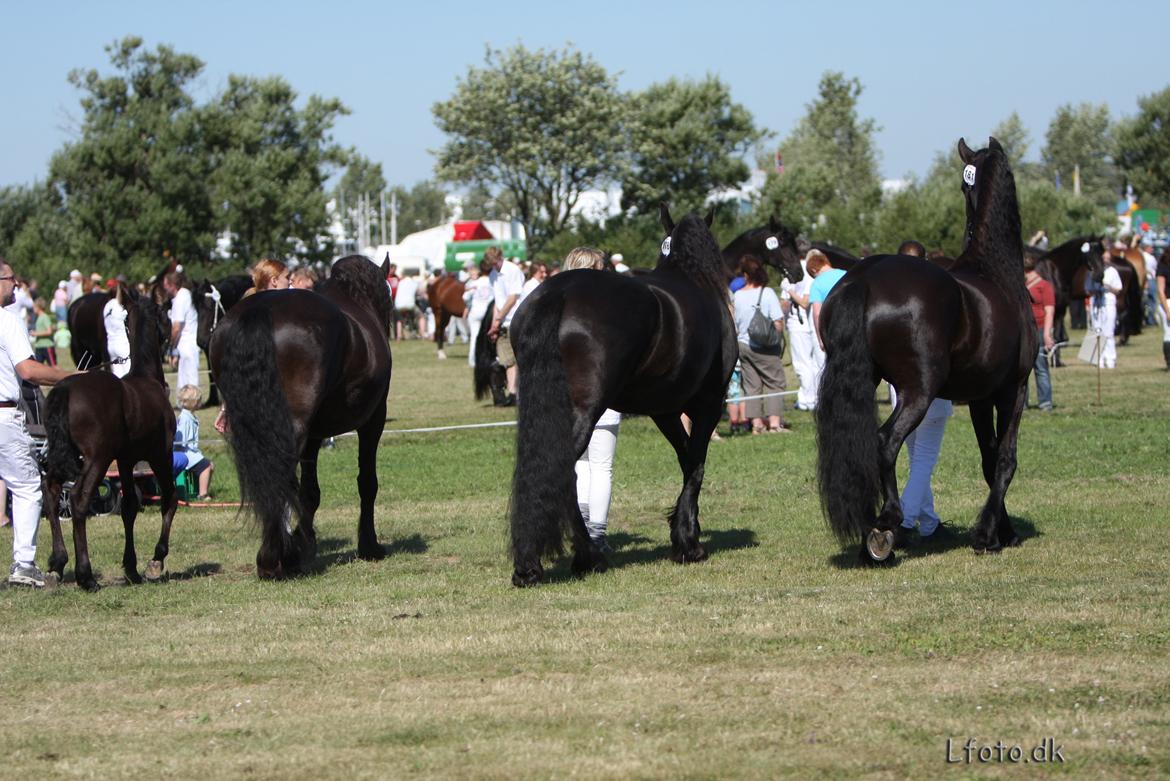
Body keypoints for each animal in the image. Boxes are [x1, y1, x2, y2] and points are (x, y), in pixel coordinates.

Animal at [43, 295, 176, 589]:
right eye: (166, 316)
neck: (146, 380)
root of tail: (65, 389)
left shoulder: (125, 461)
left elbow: (129, 507)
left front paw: (132, 568)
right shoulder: (161, 455)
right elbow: (170, 499)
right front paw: (156, 560)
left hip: (64, 456)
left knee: (52, 494)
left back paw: (57, 565)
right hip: (97, 459)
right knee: (78, 500)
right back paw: (86, 575)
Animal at [209, 253, 393, 577]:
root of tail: (259, 312)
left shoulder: (314, 434)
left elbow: (309, 492)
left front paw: (304, 543)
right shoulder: (373, 420)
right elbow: (367, 482)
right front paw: (369, 545)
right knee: (278, 478)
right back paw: (273, 560)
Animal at [507, 206, 800, 584]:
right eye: (787, 241)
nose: (798, 271)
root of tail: (558, 294)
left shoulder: (665, 411)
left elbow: (685, 460)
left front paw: (684, 530)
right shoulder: (708, 403)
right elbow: (696, 464)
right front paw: (689, 543)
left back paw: (533, 563)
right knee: (564, 474)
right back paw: (587, 557)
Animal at [814, 138, 1034, 561]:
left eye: (966, 185)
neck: (995, 270)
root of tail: (862, 279)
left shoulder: (979, 397)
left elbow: (988, 459)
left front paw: (1001, 530)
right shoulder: (1014, 389)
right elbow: (1006, 459)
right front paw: (992, 535)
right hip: (919, 391)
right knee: (885, 442)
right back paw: (886, 524)